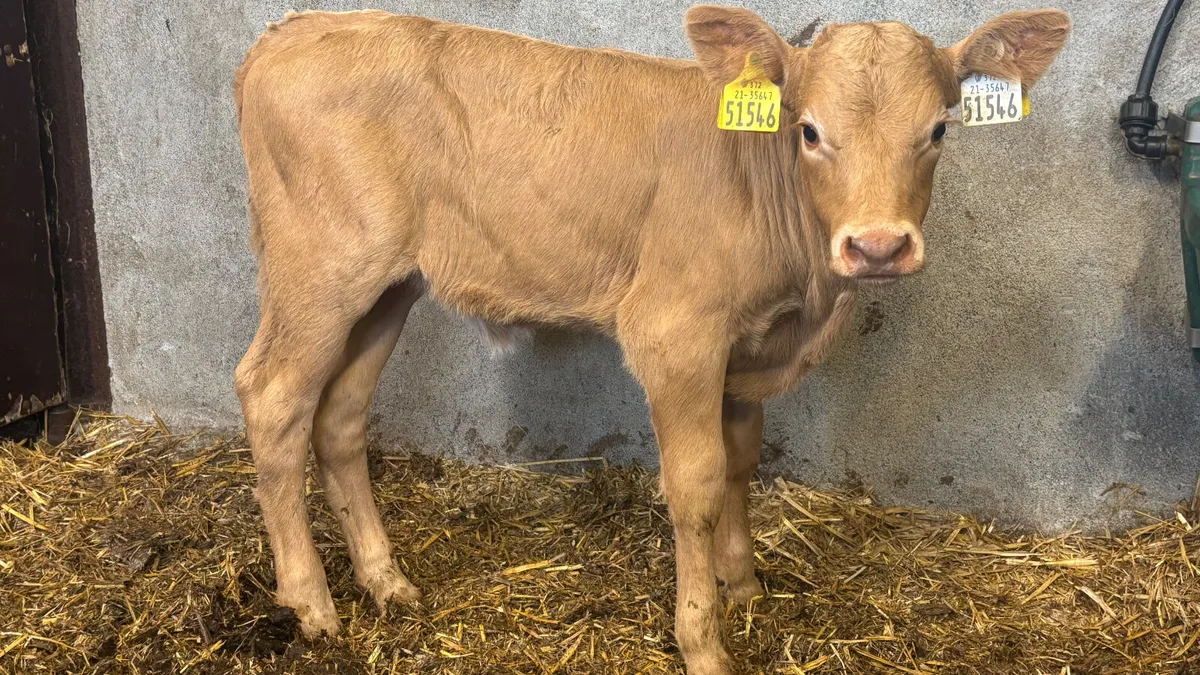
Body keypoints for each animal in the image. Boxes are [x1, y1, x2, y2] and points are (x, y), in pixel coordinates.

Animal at [232, 6, 1069, 673]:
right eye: (808, 130)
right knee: (274, 398)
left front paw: (744, 586)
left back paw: (386, 581)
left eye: (937, 129)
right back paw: (311, 602)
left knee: (339, 417)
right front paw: (703, 639)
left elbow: (741, 462)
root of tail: (296, 27)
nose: (878, 246)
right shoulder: (677, 334)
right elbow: (696, 482)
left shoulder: (745, 348)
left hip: (387, 288)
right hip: (322, 271)